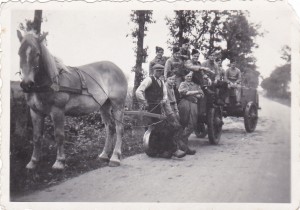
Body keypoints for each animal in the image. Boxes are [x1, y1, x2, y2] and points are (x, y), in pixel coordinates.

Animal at [16, 30, 127, 170]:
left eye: (37, 54)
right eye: (19, 53)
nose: (26, 84)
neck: (51, 82)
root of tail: (117, 68)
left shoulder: (57, 111)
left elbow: (59, 135)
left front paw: (59, 162)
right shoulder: (35, 112)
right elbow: (36, 137)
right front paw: (33, 162)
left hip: (118, 105)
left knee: (119, 128)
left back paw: (115, 157)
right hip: (104, 106)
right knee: (110, 128)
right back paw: (104, 155)